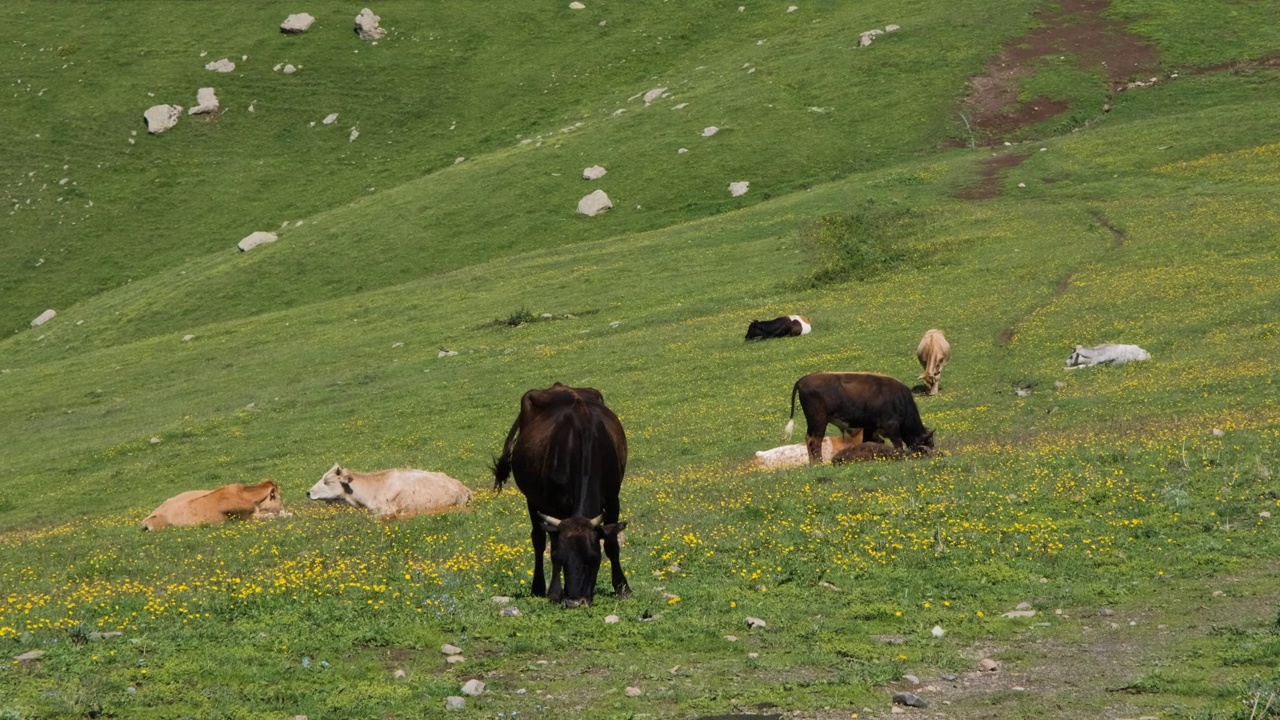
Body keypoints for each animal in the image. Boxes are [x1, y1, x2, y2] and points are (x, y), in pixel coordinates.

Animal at [488, 381, 629, 604]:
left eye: (593, 558)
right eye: (563, 559)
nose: (575, 602)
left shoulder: (613, 499)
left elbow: (612, 543)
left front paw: (623, 588)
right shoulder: (554, 505)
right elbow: (552, 548)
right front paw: (554, 593)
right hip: (533, 499)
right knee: (538, 539)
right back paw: (538, 588)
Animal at [783, 371, 936, 461]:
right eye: (929, 442)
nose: (932, 455)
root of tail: (804, 379)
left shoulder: (869, 426)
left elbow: (867, 441)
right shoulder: (892, 425)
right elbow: (898, 444)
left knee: (809, 439)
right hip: (819, 421)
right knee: (815, 441)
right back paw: (818, 463)